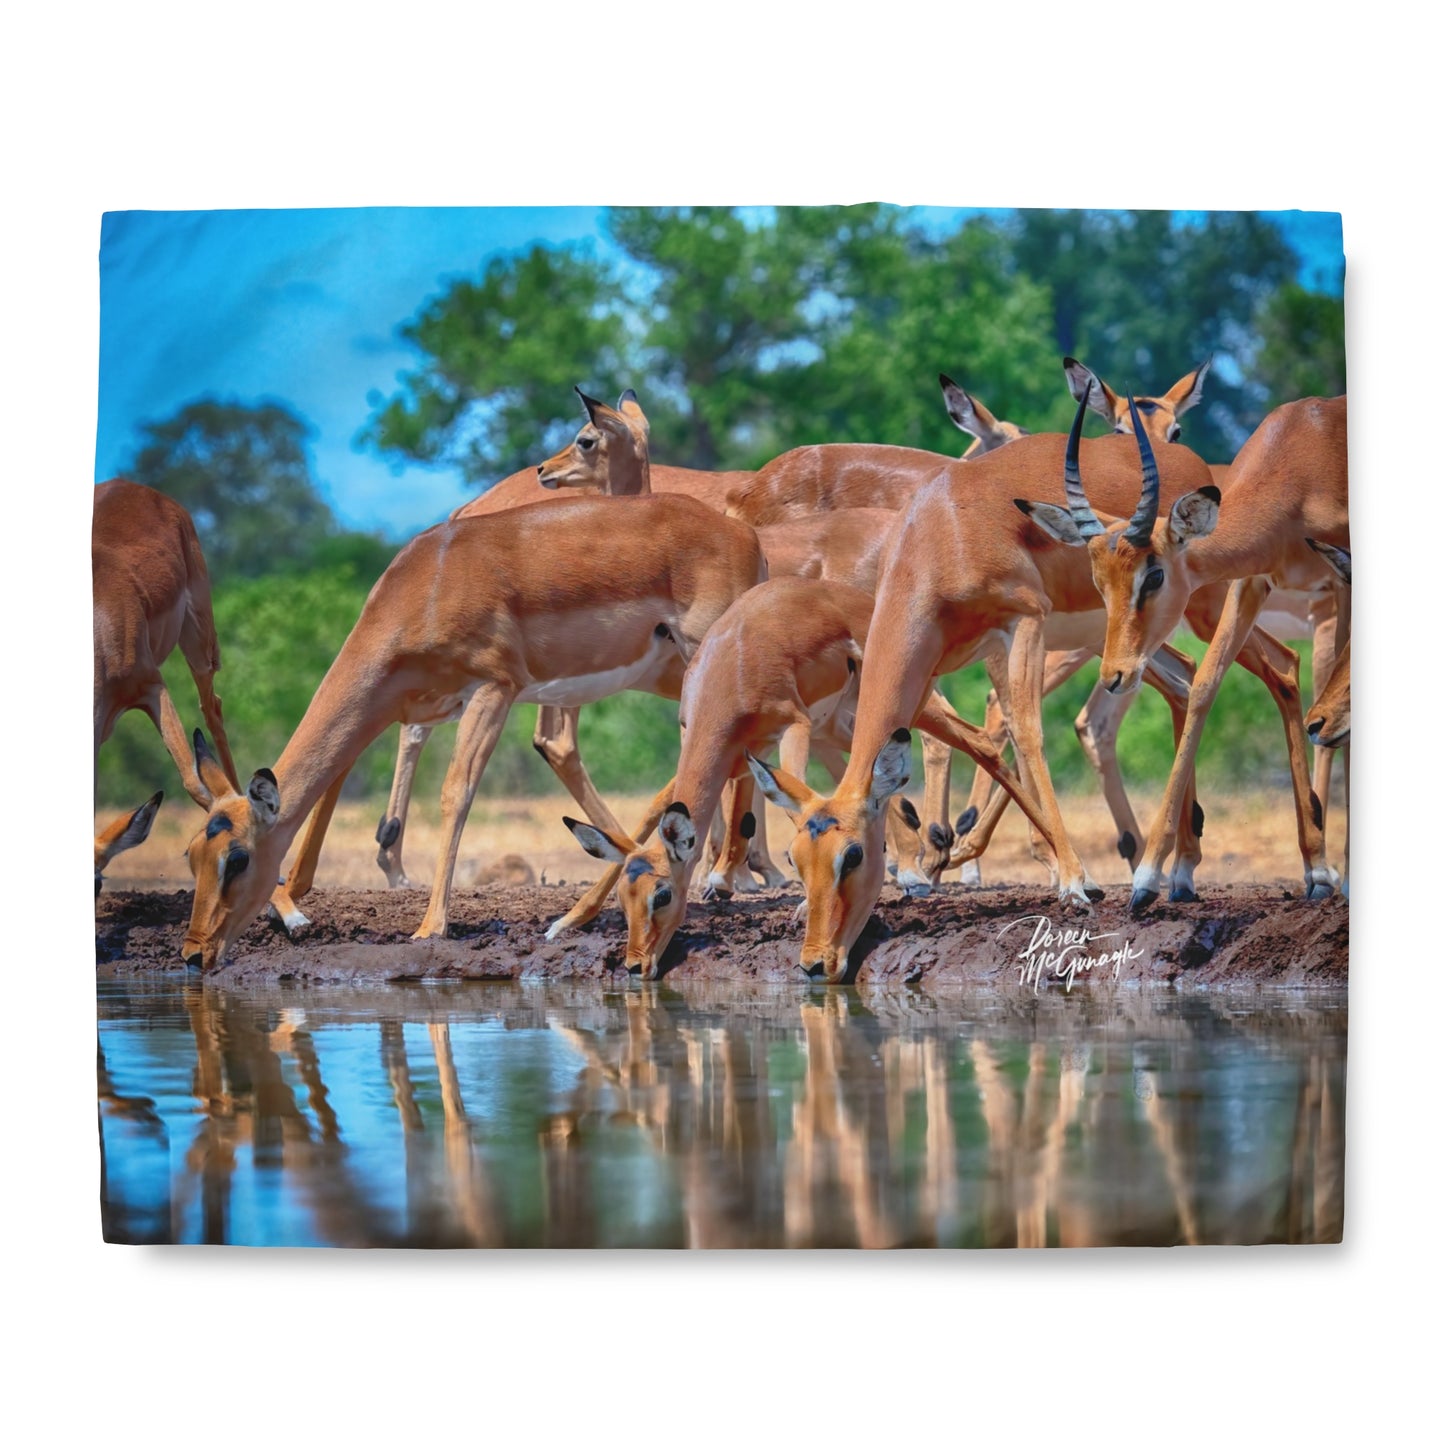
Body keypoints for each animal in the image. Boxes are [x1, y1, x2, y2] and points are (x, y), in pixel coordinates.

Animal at [93, 479, 240, 890]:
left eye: (97, 883)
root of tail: (132, 485)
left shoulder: (152, 687)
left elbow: (194, 782)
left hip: (199, 639)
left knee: (213, 709)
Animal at [178, 492, 765, 968]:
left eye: (237, 858)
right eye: (192, 855)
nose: (193, 954)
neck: (426, 585)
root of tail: (747, 537)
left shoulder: (493, 689)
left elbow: (455, 792)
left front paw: (428, 926)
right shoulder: (408, 710)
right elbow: (330, 792)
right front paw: (291, 906)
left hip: (698, 659)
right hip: (671, 674)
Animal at [549, 575, 1063, 978]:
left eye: (662, 895)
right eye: (625, 899)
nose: (636, 966)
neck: (730, 667)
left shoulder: (791, 726)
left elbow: (797, 805)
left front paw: (793, 904)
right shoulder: (730, 754)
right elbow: (653, 813)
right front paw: (568, 920)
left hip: (898, 709)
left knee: (982, 742)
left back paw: (1061, 873)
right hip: (838, 725)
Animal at [1018, 395, 1348, 912]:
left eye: (1154, 575)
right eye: (1099, 582)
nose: (1114, 674)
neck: (1304, 460)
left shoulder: (1341, 580)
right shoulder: (1252, 579)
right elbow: (1205, 684)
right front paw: (1150, 877)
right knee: (1281, 669)